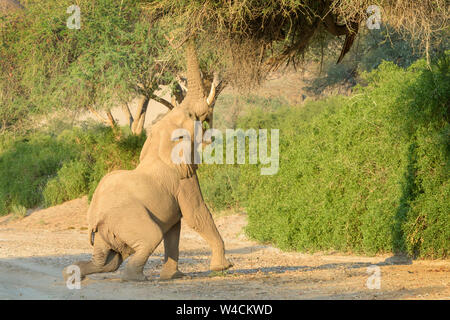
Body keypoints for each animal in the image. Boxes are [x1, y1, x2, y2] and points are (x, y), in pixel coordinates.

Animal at [62, 38, 232, 282]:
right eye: (191, 116)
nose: (184, 36)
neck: (158, 143)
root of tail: (94, 220)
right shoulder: (182, 180)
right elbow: (196, 215)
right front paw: (223, 267)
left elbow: (175, 229)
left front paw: (172, 276)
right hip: (128, 220)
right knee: (150, 237)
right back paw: (135, 277)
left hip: (106, 232)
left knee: (108, 261)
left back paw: (71, 273)